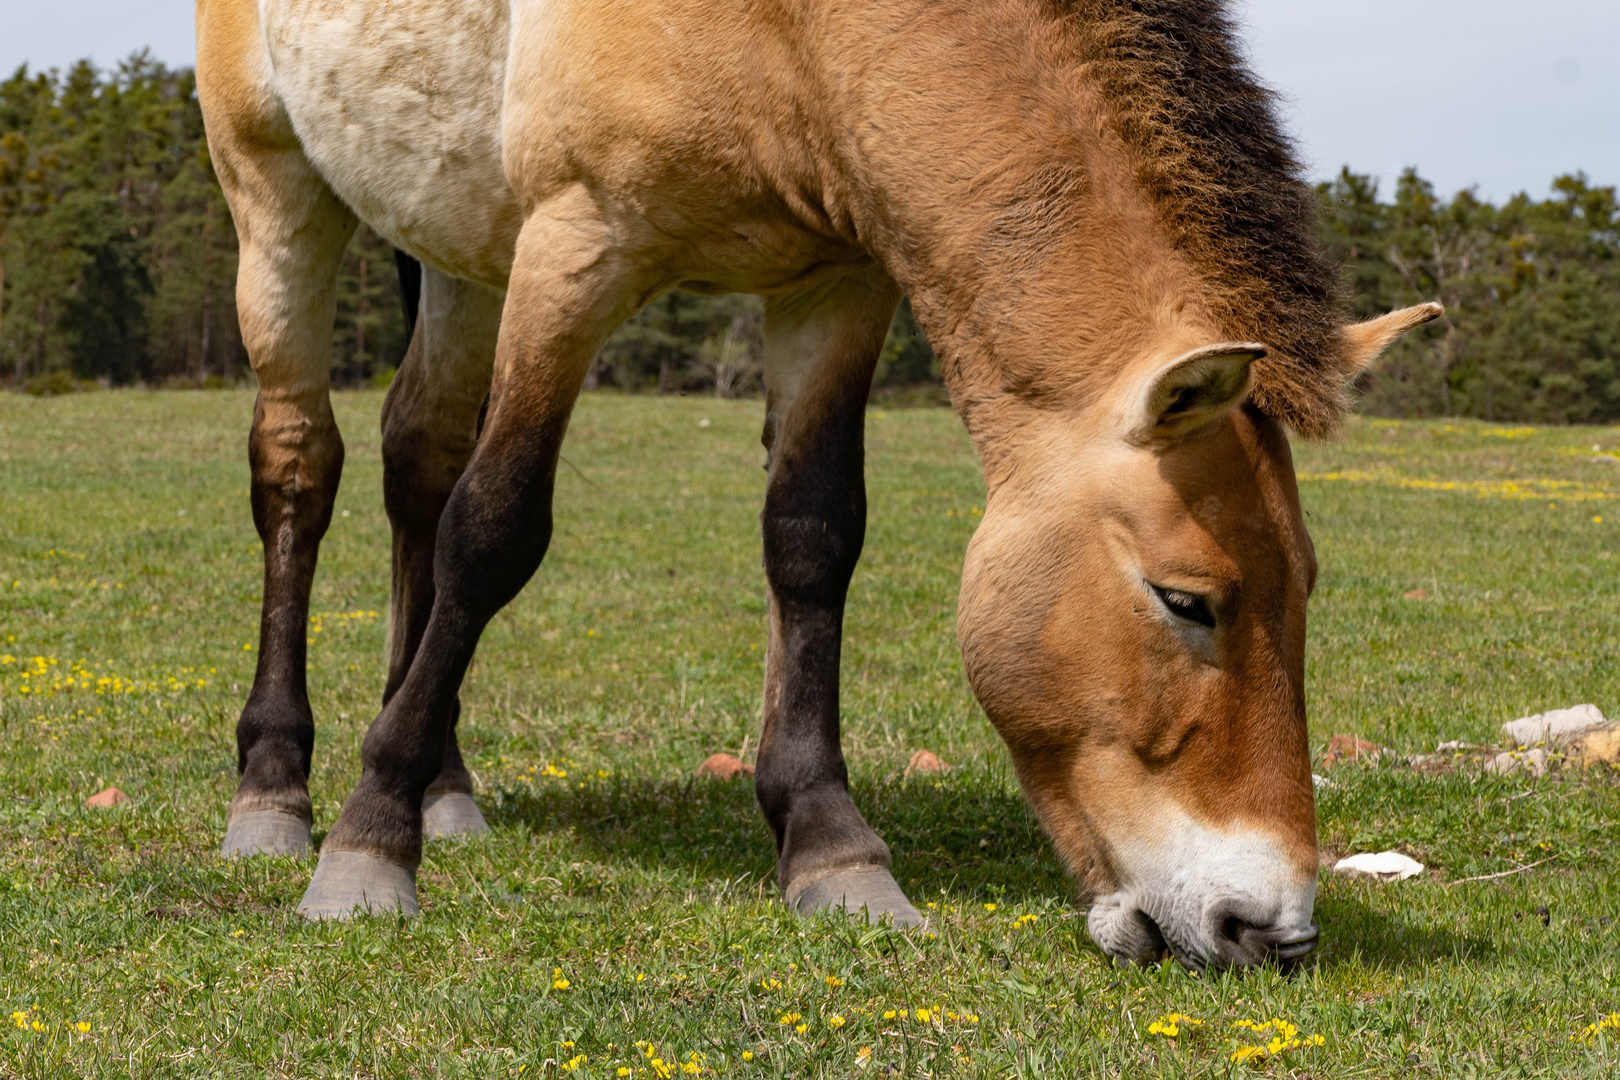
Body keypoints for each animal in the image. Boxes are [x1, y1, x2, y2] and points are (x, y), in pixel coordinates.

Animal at [196, 0, 1438, 971]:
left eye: (1305, 590)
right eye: (1187, 601)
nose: (1271, 930)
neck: (784, 30)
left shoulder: (835, 284)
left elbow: (812, 537)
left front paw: (832, 847)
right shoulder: (577, 246)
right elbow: (494, 532)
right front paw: (368, 843)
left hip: (462, 253)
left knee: (419, 457)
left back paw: (447, 785)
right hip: (279, 197)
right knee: (303, 469)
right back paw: (277, 788)